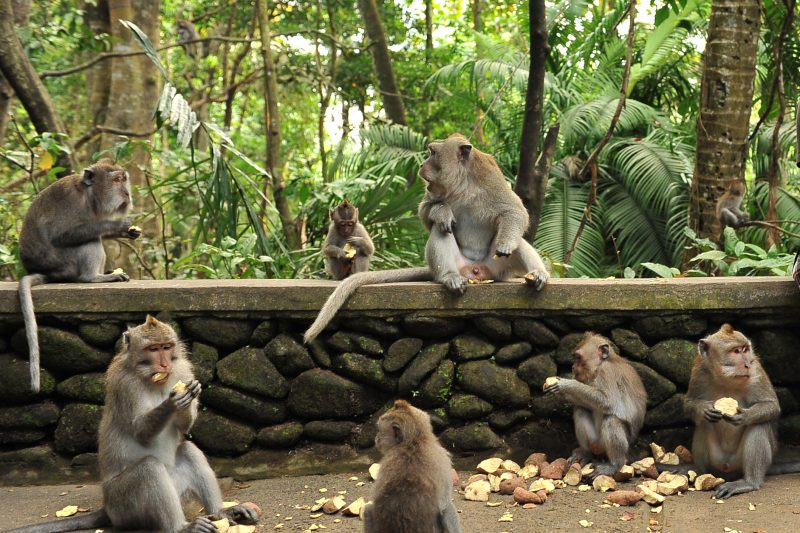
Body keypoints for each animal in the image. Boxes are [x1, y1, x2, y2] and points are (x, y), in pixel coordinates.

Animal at [9, 316, 260, 533]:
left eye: (167, 347)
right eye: (153, 349)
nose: (164, 363)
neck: (150, 376)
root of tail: (108, 508)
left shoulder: (182, 370)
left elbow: (183, 429)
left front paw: (188, 396)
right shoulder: (125, 385)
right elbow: (140, 432)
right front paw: (172, 402)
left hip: (176, 490)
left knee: (188, 450)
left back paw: (221, 512)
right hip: (125, 505)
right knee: (149, 468)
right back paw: (181, 527)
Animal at [18, 158, 141, 393]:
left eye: (124, 179)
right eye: (116, 180)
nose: (127, 194)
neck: (90, 197)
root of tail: (48, 272)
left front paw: (128, 231)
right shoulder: (70, 201)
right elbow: (62, 234)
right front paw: (118, 224)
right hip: (64, 263)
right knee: (89, 240)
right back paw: (94, 278)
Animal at [303, 133, 549, 343]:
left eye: (433, 152)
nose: (422, 164)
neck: (462, 183)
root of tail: (476, 271)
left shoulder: (491, 178)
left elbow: (515, 211)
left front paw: (505, 243)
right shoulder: (435, 192)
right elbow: (426, 212)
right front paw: (443, 213)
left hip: (499, 270)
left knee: (520, 243)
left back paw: (538, 274)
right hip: (457, 266)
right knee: (441, 231)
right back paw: (449, 277)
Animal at [544, 333, 647, 479]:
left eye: (578, 358)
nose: (572, 367)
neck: (602, 364)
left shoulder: (607, 372)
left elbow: (607, 402)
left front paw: (566, 384)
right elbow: (586, 404)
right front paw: (560, 392)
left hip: (610, 444)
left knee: (611, 420)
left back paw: (615, 464)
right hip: (595, 441)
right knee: (580, 410)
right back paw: (586, 453)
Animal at [681, 324, 800, 498]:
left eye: (745, 350)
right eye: (736, 351)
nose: (746, 365)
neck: (726, 378)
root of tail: (727, 468)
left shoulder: (756, 370)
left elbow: (771, 405)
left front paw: (745, 416)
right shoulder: (699, 370)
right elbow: (689, 404)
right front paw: (704, 409)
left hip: (741, 462)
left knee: (759, 425)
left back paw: (749, 482)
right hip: (716, 460)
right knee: (704, 424)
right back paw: (700, 471)